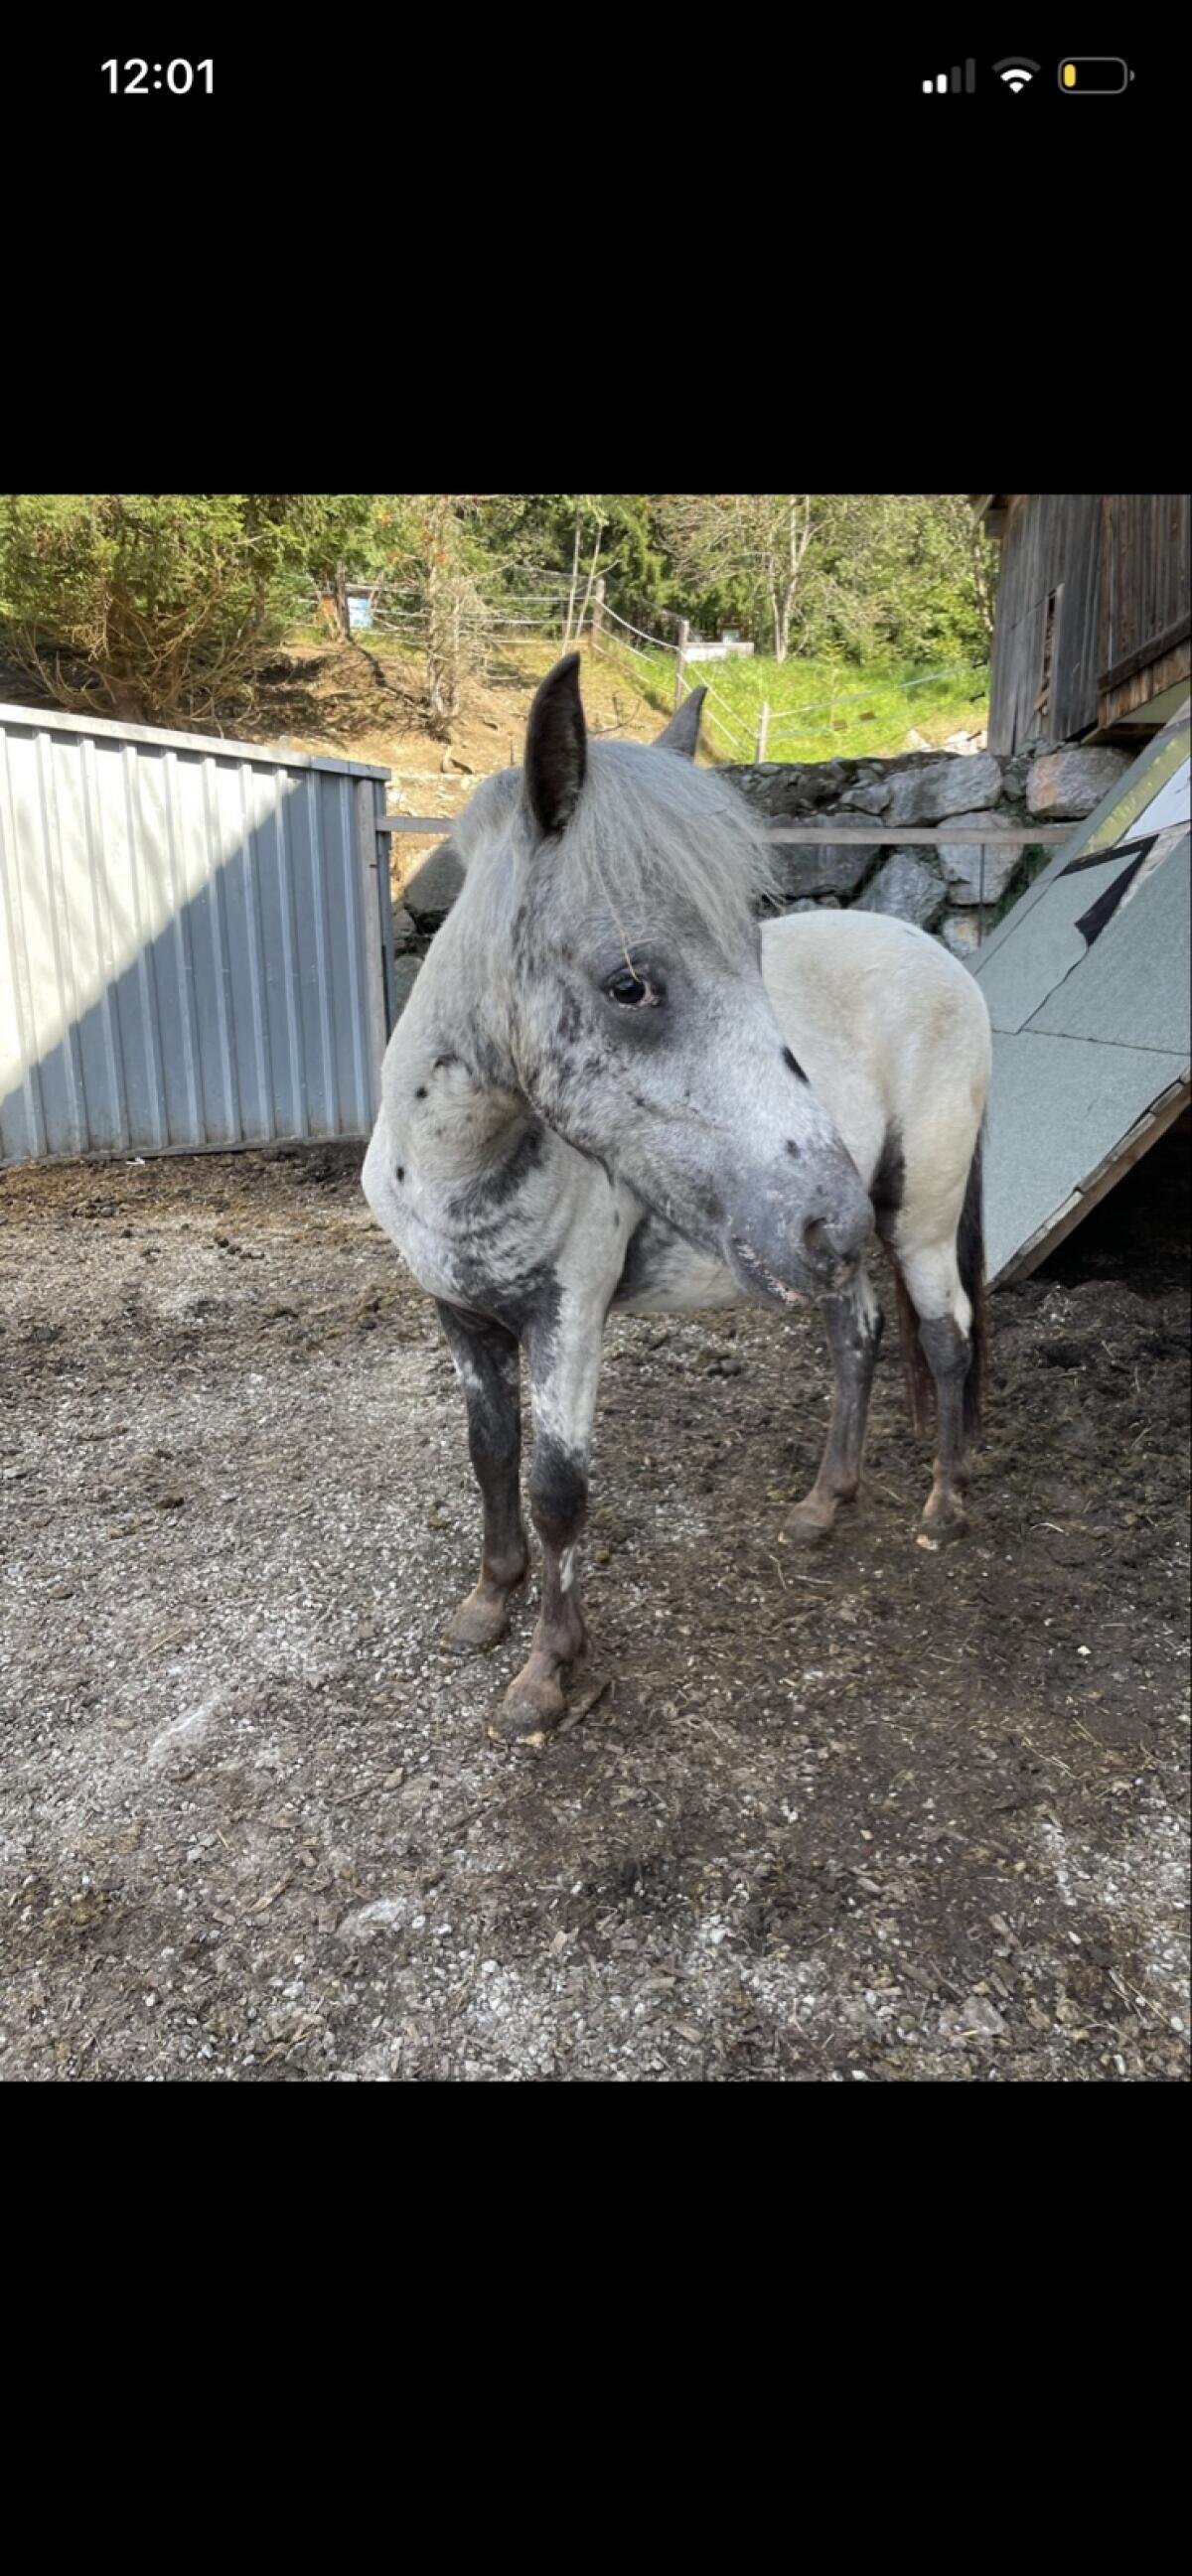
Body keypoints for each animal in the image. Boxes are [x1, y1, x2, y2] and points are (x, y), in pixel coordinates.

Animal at [362, 655, 992, 1746]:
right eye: (630, 984)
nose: (825, 1213)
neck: (451, 1159)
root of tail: (952, 967)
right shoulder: (460, 1313)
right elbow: (489, 1455)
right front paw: (487, 1603)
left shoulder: (566, 1319)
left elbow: (557, 1491)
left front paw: (548, 1675)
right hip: (845, 1257)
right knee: (861, 1337)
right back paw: (824, 1504)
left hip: (914, 1218)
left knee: (946, 1338)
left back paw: (943, 1508)